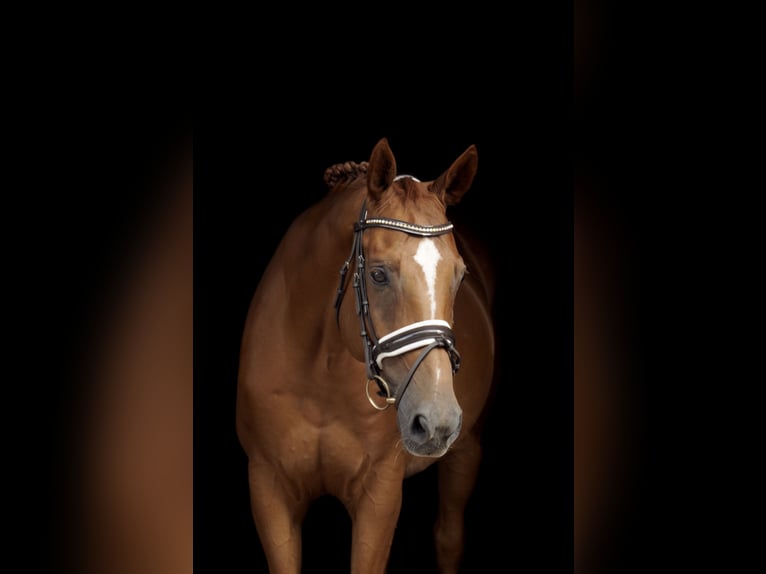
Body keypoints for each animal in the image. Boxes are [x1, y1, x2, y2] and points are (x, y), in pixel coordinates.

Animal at [236, 138, 496, 573]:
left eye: (459, 276)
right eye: (377, 274)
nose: (437, 421)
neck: (319, 372)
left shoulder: (380, 492)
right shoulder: (269, 488)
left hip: (467, 449)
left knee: (448, 538)